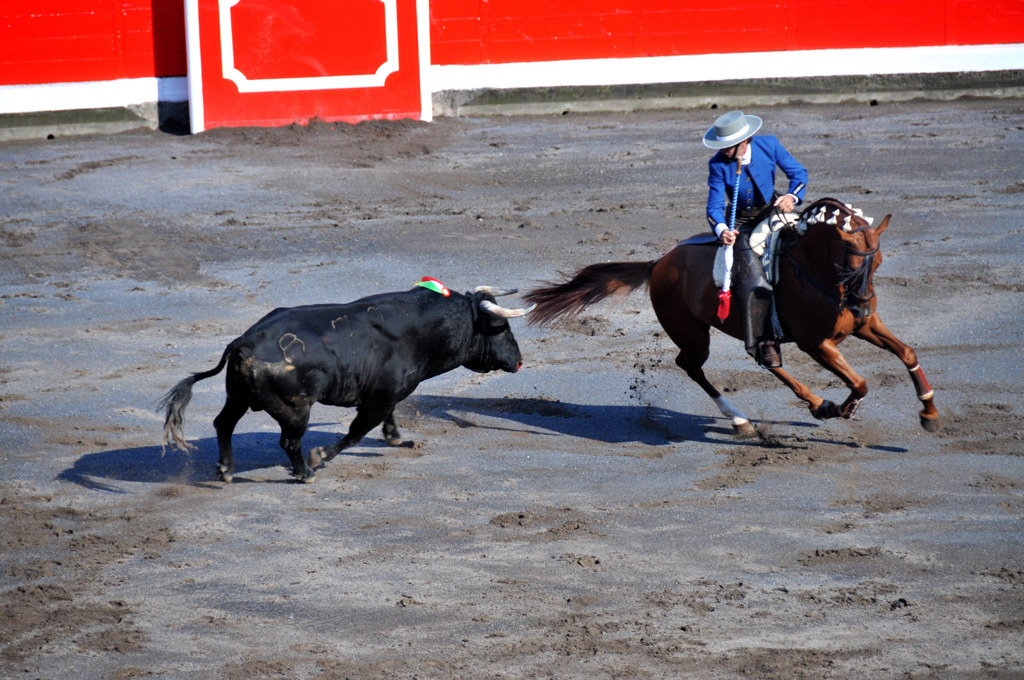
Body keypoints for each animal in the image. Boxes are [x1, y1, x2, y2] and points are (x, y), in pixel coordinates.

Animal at [161, 286, 536, 483]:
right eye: (502, 328)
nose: (519, 361)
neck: (422, 331)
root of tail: (244, 342)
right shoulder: (378, 398)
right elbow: (356, 432)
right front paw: (322, 455)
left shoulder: (387, 396)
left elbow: (387, 420)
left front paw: (397, 439)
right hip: (296, 408)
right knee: (289, 440)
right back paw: (305, 472)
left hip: (237, 396)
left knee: (223, 424)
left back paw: (226, 469)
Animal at [528, 197, 942, 436]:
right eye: (849, 265)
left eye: (880, 262)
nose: (861, 306)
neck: (813, 271)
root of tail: (660, 263)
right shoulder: (816, 343)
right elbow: (860, 382)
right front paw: (843, 407)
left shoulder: (866, 326)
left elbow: (906, 352)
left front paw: (930, 411)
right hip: (693, 334)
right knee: (693, 365)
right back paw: (744, 418)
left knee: (763, 358)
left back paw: (810, 403)